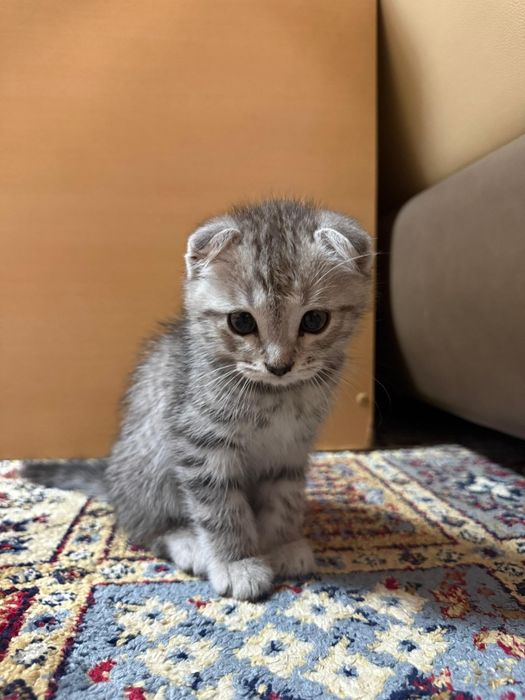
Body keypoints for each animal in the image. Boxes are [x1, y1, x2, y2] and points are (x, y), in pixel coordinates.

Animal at [23, 199, 372, 600]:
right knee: (144, 526)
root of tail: (112, 481)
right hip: (150, 464)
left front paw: (281, 543)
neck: (275, 396)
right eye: (241, 322)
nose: (279, 366)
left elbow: (283, 499)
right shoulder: (200, 443)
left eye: (315, 320)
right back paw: (187, 542)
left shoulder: (290, 449)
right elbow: (222, 509)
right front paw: (237, 562)